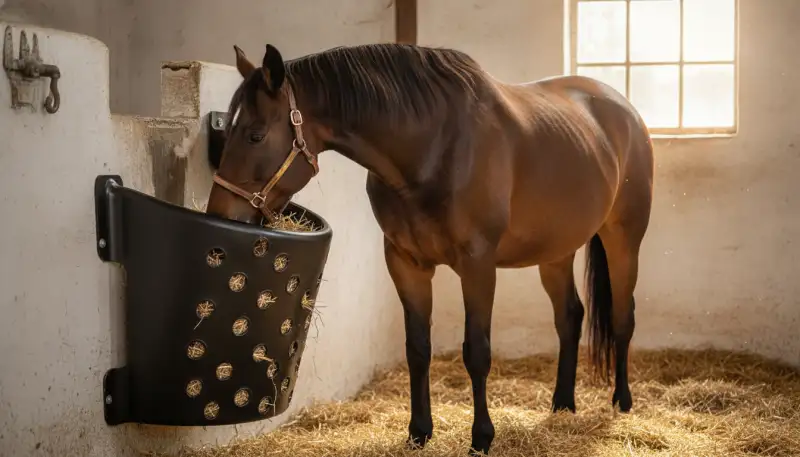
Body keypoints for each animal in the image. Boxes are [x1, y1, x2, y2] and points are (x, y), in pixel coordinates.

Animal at [205, 42, 654, 456]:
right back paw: (562, 405)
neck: (433, 148)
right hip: (555, 251)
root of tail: (624, 110)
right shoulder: (406, 262)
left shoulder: (477, 265)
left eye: (255, 135)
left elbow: (477, 351)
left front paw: (481, 437)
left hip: (624, 239)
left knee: (622, 317)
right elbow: (418, 349)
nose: (221, 215)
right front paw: (418, 432)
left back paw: (621, 402)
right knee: (569, 317)